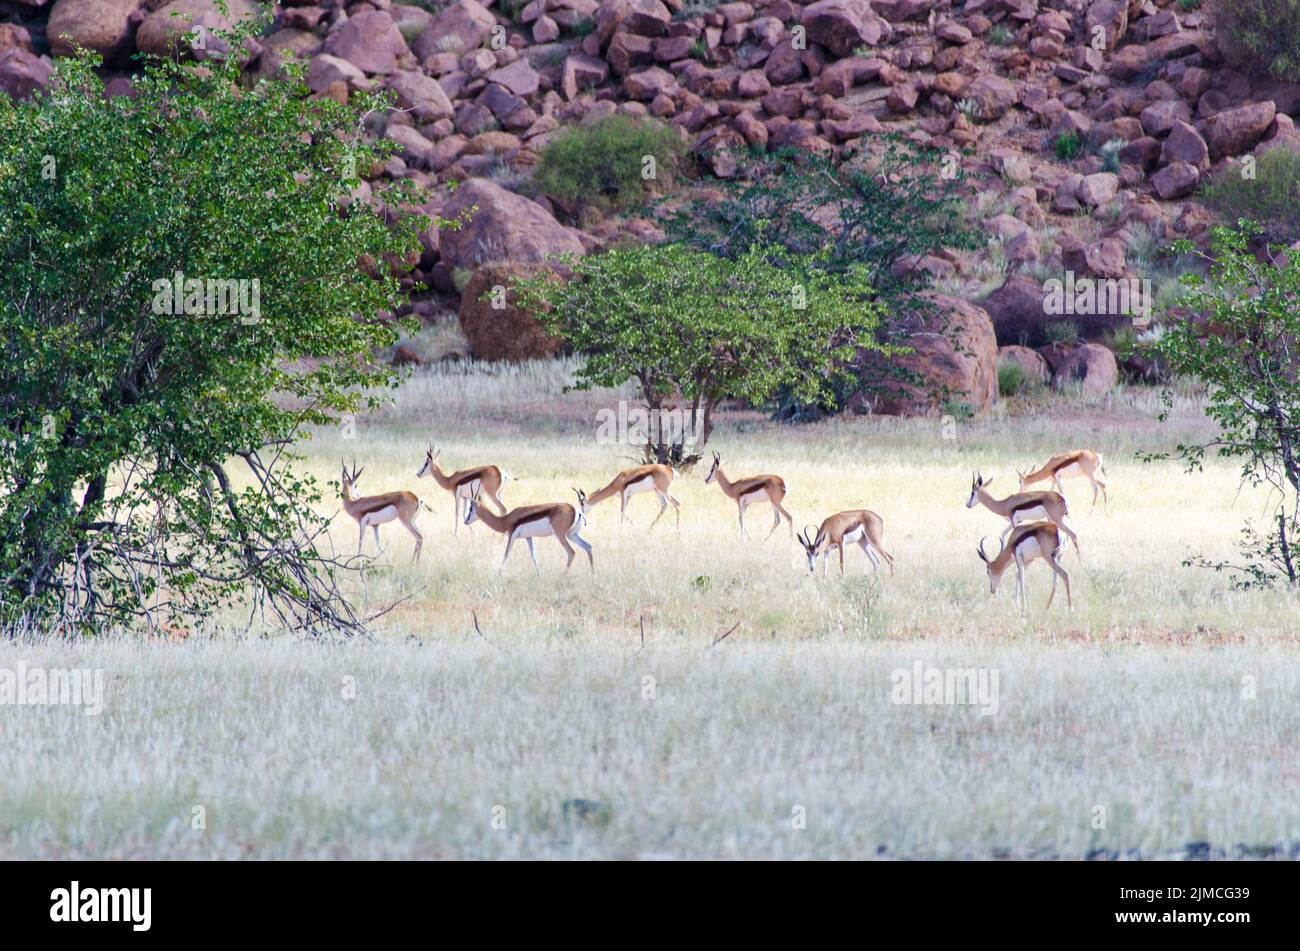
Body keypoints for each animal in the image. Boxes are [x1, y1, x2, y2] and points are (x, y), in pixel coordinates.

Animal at [462, 491, 595, 571]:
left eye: (470, 507)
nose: (465, 521)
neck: (505, 520)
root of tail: (576, 511)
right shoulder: (528, 537)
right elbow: (534, 557)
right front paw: (540, 577)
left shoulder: (512, 535)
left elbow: (506, 554)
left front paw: (498, 575)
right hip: (572, 535)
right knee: (588, 546)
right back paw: (592, 577)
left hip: (561, 535)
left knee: (571, 552)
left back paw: (562, 577)